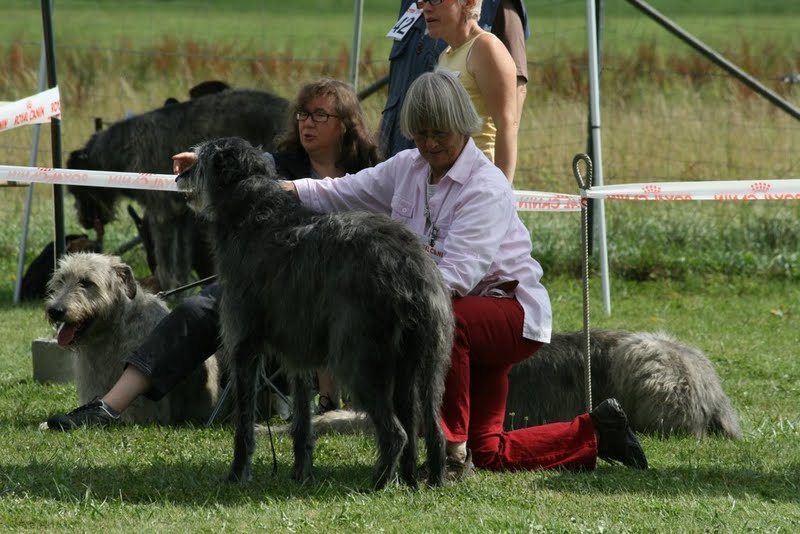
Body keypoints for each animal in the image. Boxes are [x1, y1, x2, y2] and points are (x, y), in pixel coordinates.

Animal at [66, 89, 288, 296]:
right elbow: (181, 262)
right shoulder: (180, 217)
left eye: (77, 190)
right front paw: (180, 290)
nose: (84, 222)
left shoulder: (161, 215)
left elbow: (166, 262)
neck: (123, 149)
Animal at [180, 139, 456, 494]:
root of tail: (409, 264)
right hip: (426, 359)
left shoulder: (245, 345)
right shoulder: (298, 349)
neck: (253, 209)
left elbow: (244, 422)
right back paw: (423, 480)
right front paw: (302, 471)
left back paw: (379, 483)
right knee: (429, 427)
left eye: (201, 158)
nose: (180, 175)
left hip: (357, 357)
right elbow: (301, 417)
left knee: (396, 432)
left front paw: (238, 472)